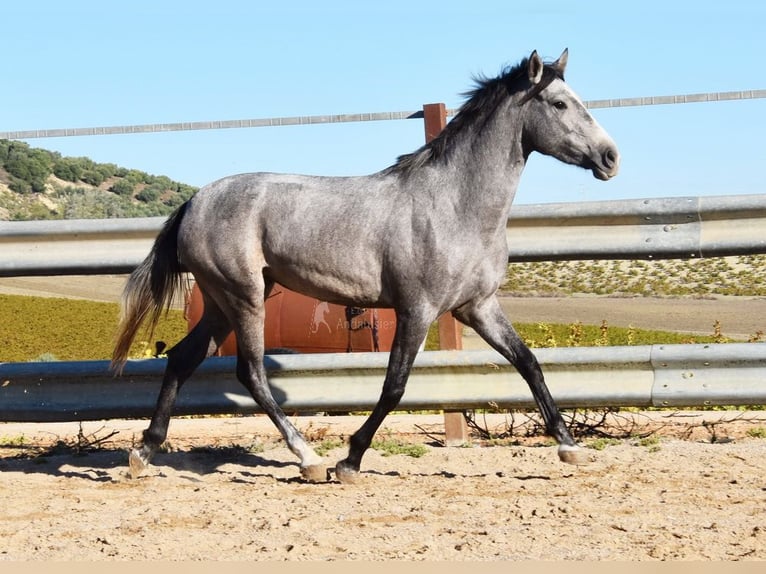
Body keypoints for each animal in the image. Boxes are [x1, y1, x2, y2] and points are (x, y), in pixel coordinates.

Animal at [111, 49, 620, 484]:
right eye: (559, 103)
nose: (611, 157)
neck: (455, 206)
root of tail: (194, 202)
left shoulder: (478, 306)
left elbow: (529, 363)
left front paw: (571, 447)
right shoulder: (417, 309)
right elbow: (394, 386)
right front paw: (350, 461)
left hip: (221, 301)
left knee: (182, 359)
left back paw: (143, 453)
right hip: (244, 297)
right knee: (250, 372)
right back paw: (309, 458)